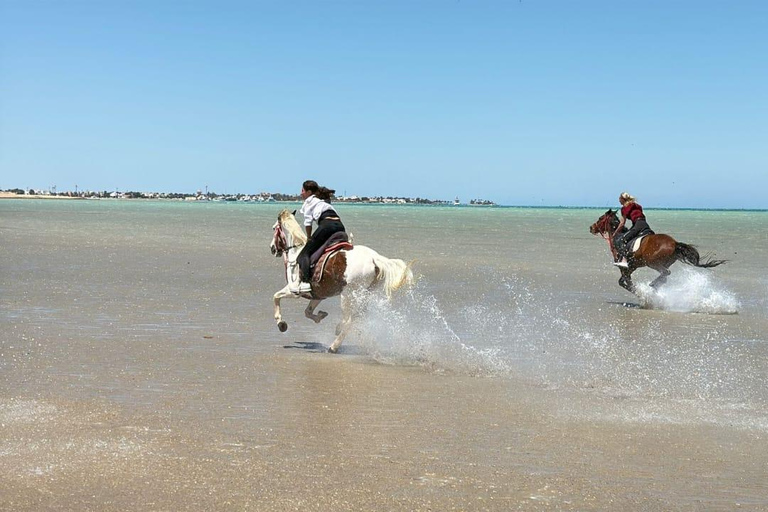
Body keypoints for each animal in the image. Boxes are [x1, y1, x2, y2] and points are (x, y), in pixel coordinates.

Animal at [270, 209, 413, 353]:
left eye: (274, 228)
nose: (272, 248)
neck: (296, 252)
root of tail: (374, 258)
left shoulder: (293, 289)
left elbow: (276, 296)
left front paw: (281, 324)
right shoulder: (318, 295)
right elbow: (308, 312)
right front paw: (320, 316)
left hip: (347, 295)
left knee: (349, 320)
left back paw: (334, 345)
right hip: (364, 295)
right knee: (356, 317)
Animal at [589, 209, 726, 293]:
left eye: (600, 218)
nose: (591, 227)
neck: (618, 235)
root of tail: (674, 243)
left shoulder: (626, 267)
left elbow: (623, 282)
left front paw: (640, 293)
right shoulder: (631, 267)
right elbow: (625, 281)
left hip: (653, 263)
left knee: (666, 273)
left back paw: (652, 285)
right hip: (663, 263)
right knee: (665, 276)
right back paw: (655, 286)